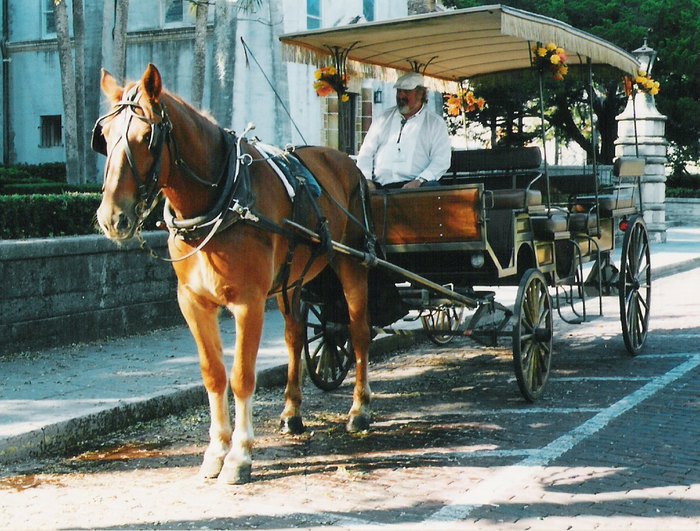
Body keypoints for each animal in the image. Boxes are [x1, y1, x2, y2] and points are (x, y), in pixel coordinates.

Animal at [95, 63, 374, 486]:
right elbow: (213, 374)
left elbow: (242, 375)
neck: (223, 199)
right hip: (291, 281)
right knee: (294, 338)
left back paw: (359, 409)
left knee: (358, 333)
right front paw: (215, 451)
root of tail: (347, 162)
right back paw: (292, 411)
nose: (113, 217)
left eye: (146, 137)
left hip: (352, 265)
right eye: (106, 137)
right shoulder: (193, 302)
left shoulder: (248, 302)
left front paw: (240, 455)